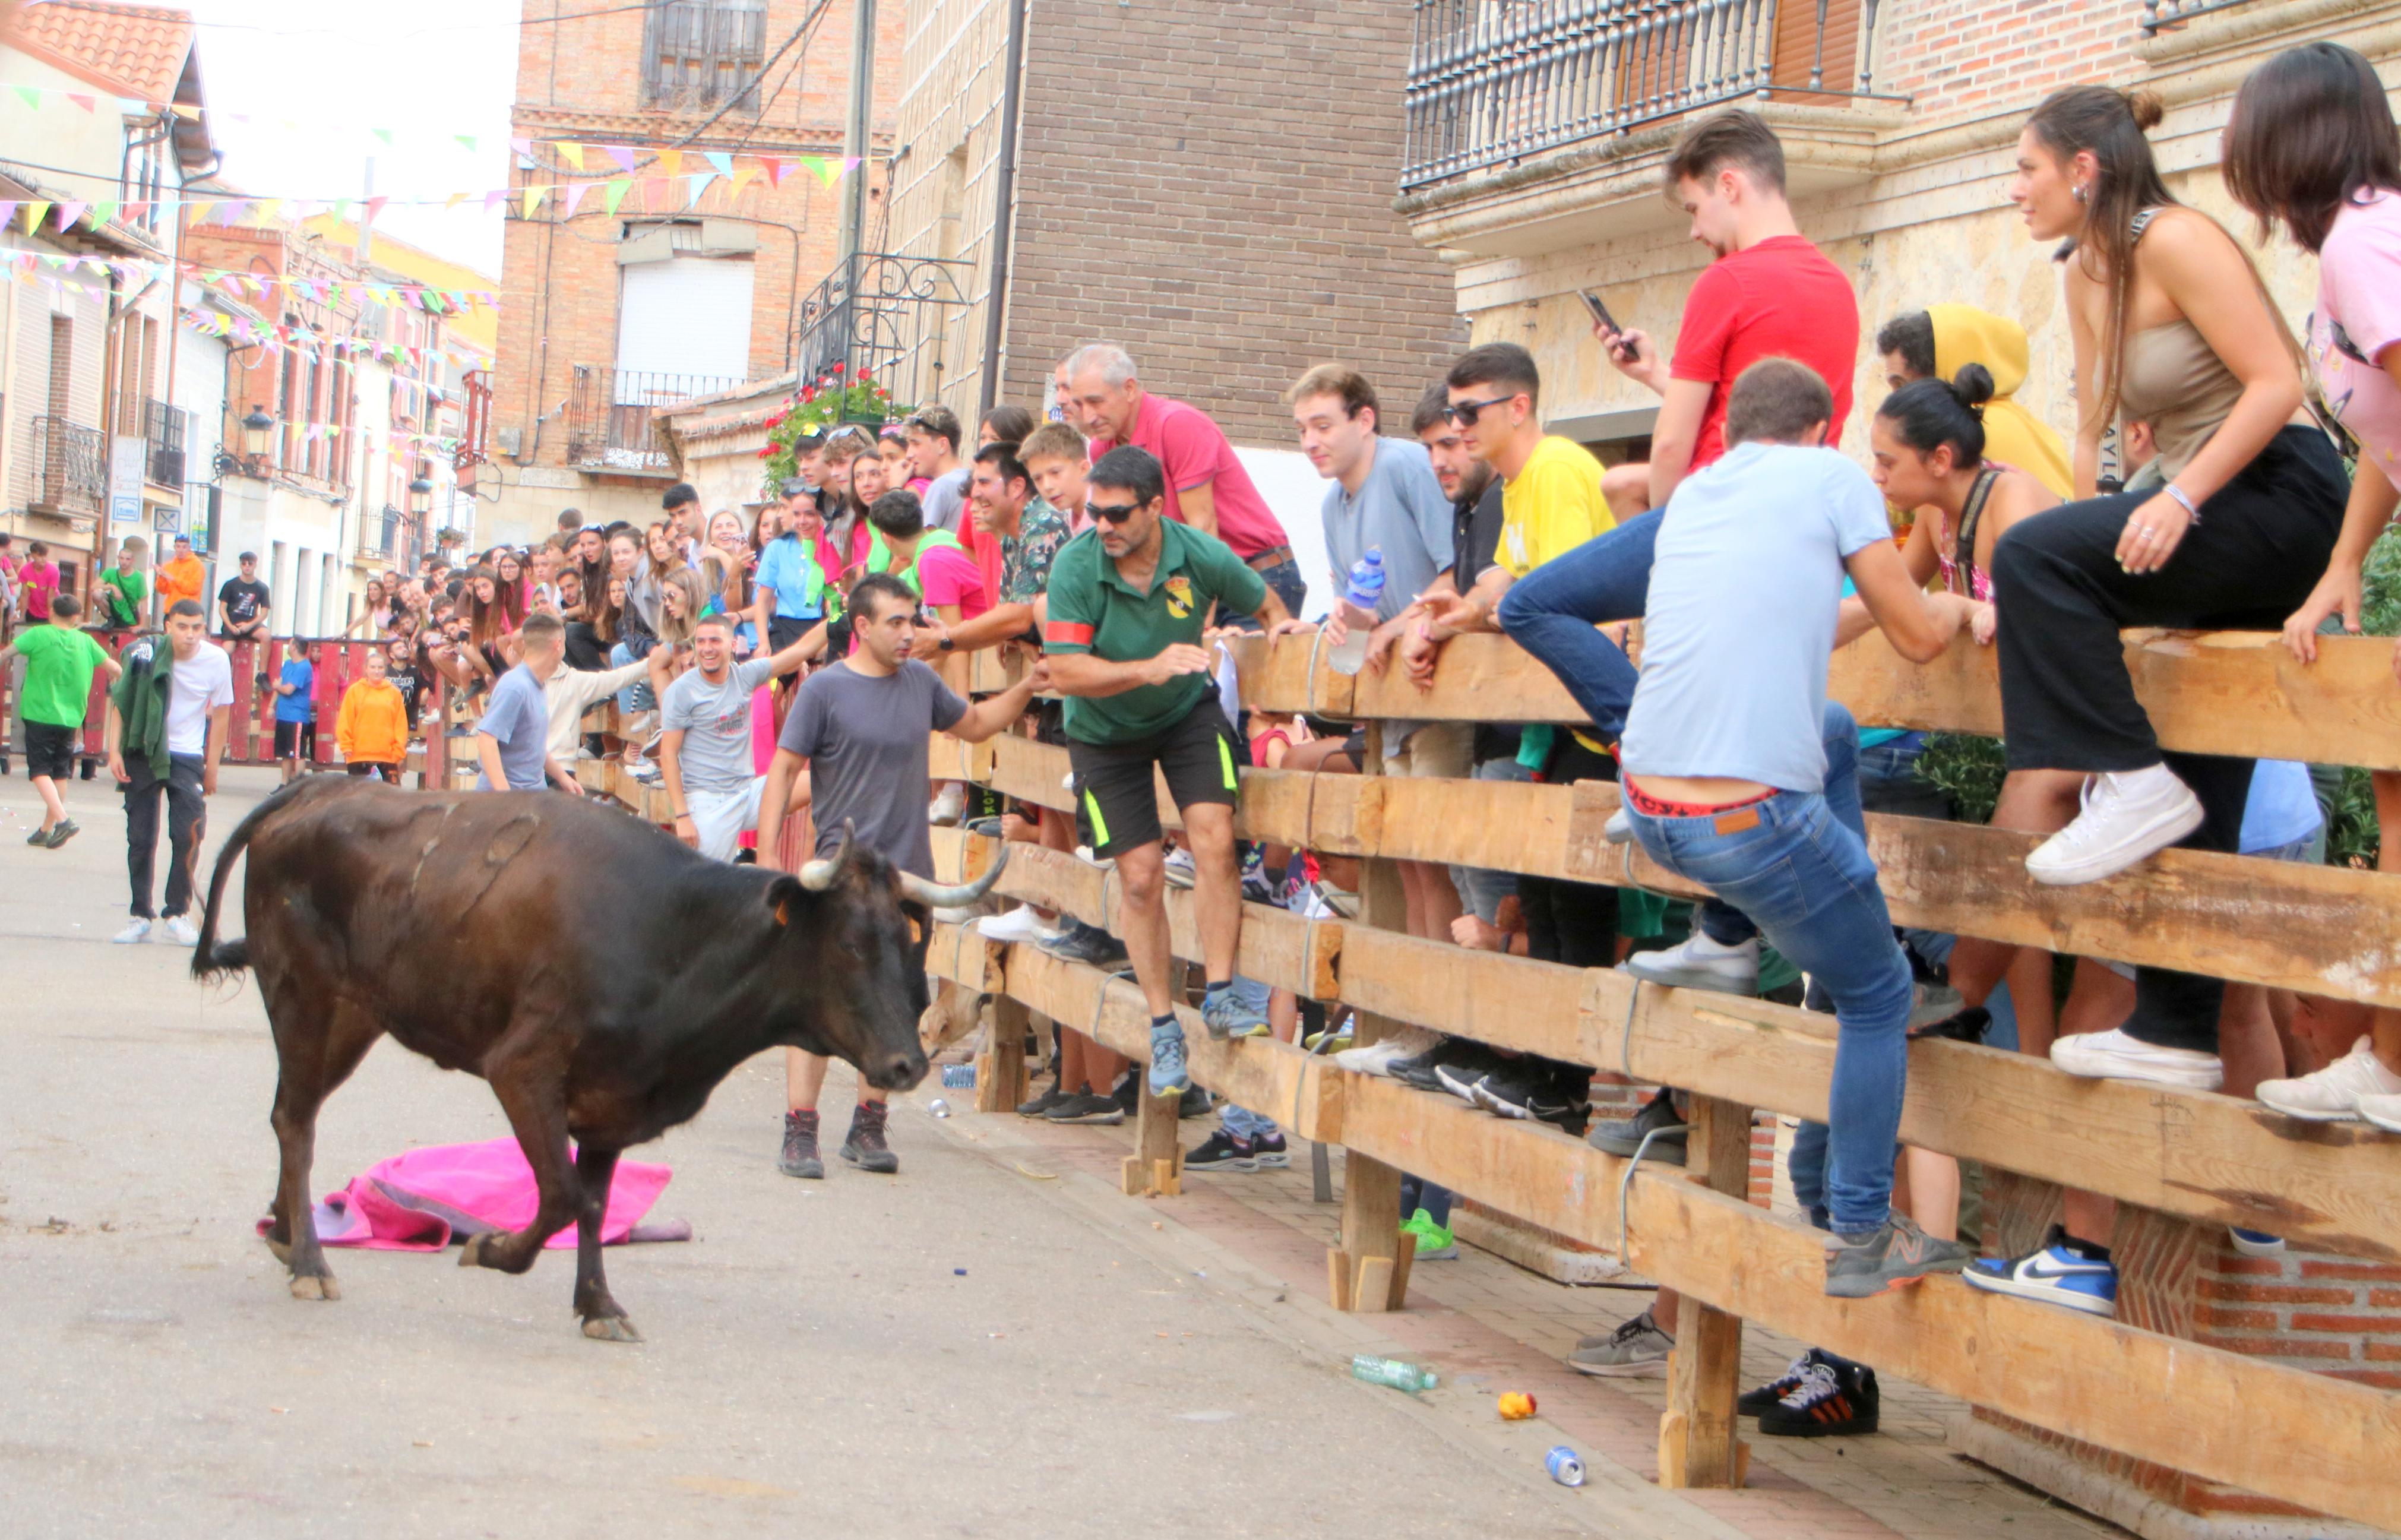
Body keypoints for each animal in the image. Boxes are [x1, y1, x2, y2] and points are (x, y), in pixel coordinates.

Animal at [189, 773, 1003, 1336]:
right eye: (848, 942)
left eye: (907, 941)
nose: (907, 1065)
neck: (673, 938)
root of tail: (321, 785)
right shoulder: (522, 1069)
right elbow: (562, 1197)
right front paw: (492, 1250)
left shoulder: (615, 1103)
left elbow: (595, 1202)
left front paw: (598, 1304)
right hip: (304, 999)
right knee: (295, 1122)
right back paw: (309, 1261)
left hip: (354, 1018)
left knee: (294, 1114)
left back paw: (284, 1234)